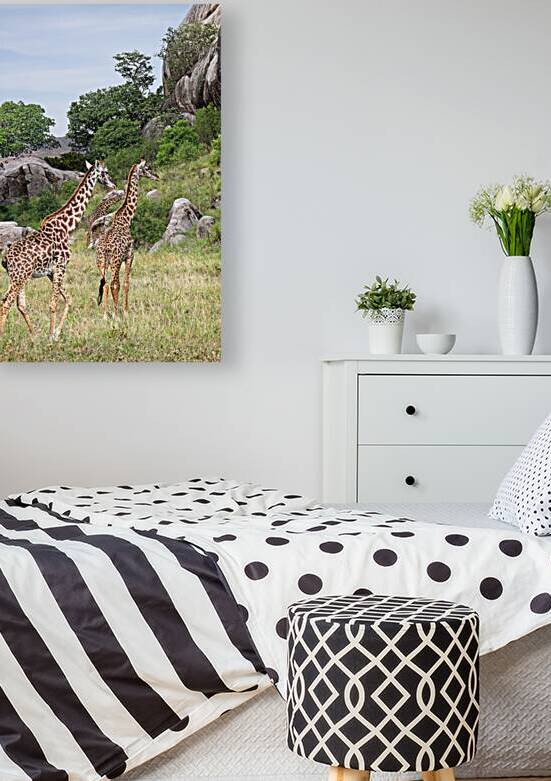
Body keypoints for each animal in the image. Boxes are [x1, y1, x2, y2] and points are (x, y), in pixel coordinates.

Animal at [0, 160, 115, 341]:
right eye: (106, 172)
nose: (113, 184)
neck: (67, 226)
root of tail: (5, 259)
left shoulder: (51, 271)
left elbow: (68, 299)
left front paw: (56, 333)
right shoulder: (61, 266)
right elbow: (54, 303)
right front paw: (51, 336)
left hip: (19, 277)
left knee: (18, 304)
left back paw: (34, 336)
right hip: (19, 277)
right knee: (6, 303)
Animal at [96, 159, 158, 319]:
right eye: (147, 168)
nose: (157, 176)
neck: (126, 220)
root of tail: (104, 249)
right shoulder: (130, 256)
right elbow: (126, 284)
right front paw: (125, 312)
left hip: (101, 263)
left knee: (105, 284)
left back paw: (105, 314)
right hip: (115, 261)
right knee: (114, 283)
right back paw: (116, 315)